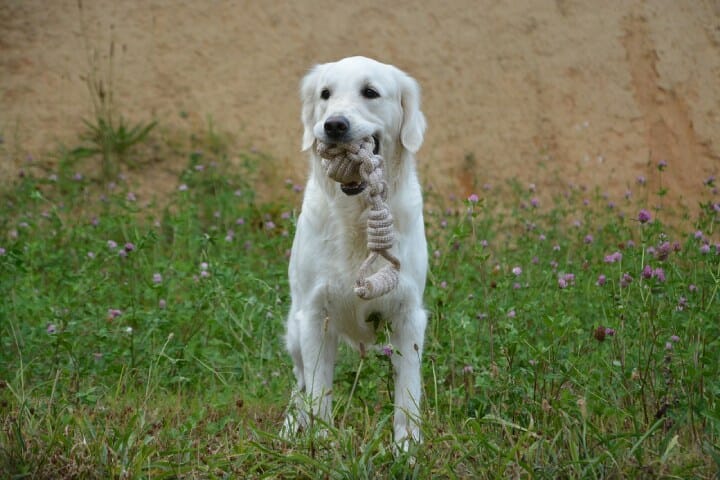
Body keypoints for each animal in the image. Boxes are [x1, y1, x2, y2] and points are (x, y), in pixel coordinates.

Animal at [282, 57, 428, 450]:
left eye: (370, 92)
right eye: (325, 94)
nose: (334, 125)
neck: (358, 217)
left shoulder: (409, 313)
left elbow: (407, 391)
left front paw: (406, 448)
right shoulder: (314, 314)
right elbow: (317, 391)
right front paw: (320, 443)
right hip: (294, 329)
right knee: (300, 383)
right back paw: (291, 425)